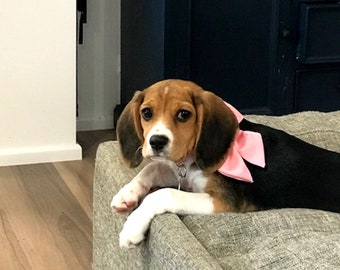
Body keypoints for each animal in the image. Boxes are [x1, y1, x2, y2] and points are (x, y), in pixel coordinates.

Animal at [111, 79, 340, 248]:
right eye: (147, 112)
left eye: (184, 114)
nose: (157, 142)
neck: (191, 159)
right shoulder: (184, 175)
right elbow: (153, 167)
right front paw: (126, 194)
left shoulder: (222, 201)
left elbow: (166, 194)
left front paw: (132, 227)